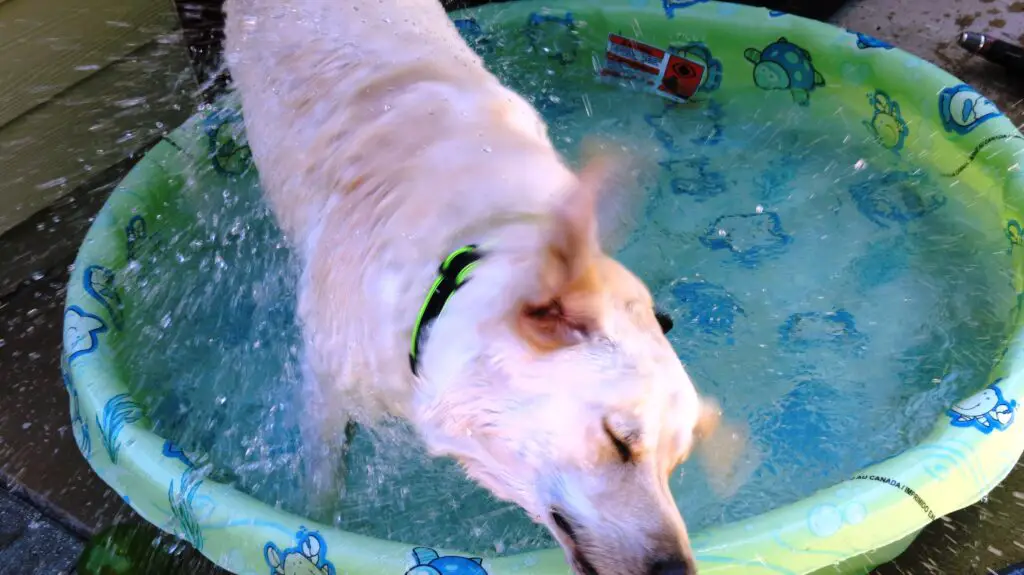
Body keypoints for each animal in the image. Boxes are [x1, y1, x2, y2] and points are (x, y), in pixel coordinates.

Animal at [224, 1, 737, 572]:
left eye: (675, 462)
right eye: (618, 442)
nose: (677, 568)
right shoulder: (325, 378)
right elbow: (323, 480)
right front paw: (316, 518)